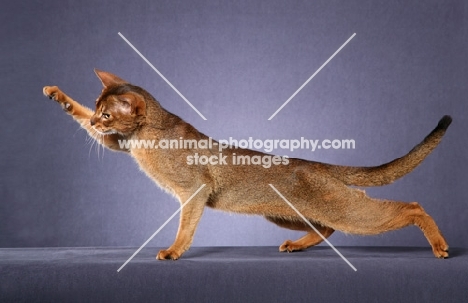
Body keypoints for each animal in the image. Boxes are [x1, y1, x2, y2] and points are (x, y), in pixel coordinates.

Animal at [42, 70, 452, 260]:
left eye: (108, 114)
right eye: (98, 109)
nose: (99, 123)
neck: (151, 131)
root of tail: (319, 165)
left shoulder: (194, 191)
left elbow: (185, 228)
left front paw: (174, 251)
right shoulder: (119, 145)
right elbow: (75, 112)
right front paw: (57, 95)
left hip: (348, 211)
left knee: (409, 207)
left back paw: (439, 245)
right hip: (285, 214)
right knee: (326, 228)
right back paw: (297, 246)